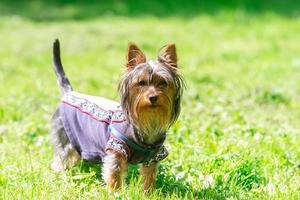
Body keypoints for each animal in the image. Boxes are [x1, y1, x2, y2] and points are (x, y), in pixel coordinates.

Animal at [50, 39, 184, 191]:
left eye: (163, 83)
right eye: (141, 83)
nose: (153, 97)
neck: (146, 121)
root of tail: (69, 93)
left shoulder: (154, 156)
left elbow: (149, 176)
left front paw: (148, 192)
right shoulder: (117, 149)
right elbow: (114, 173)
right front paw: (116, 192)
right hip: (64, 138)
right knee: (61, 159)